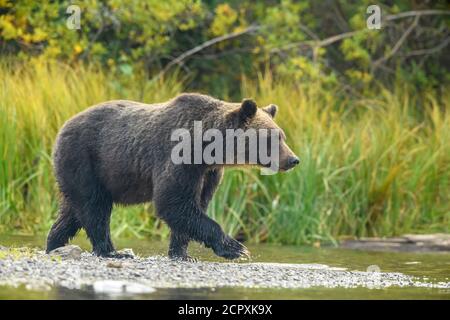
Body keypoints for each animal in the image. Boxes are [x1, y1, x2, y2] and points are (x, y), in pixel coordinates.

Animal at [46, 92, 298, 260]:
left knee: (73, 211)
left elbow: (193, 206)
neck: (209, 149)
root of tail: (62, 127)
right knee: (94, 208)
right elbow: (173, 202)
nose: (293, 160)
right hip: (84, 159)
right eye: (271, 138)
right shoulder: (179, 158)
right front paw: (236, 248)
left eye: (282, 136)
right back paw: (111, 251)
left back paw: (54, 243)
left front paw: (181, 253)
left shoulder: (208, 173)